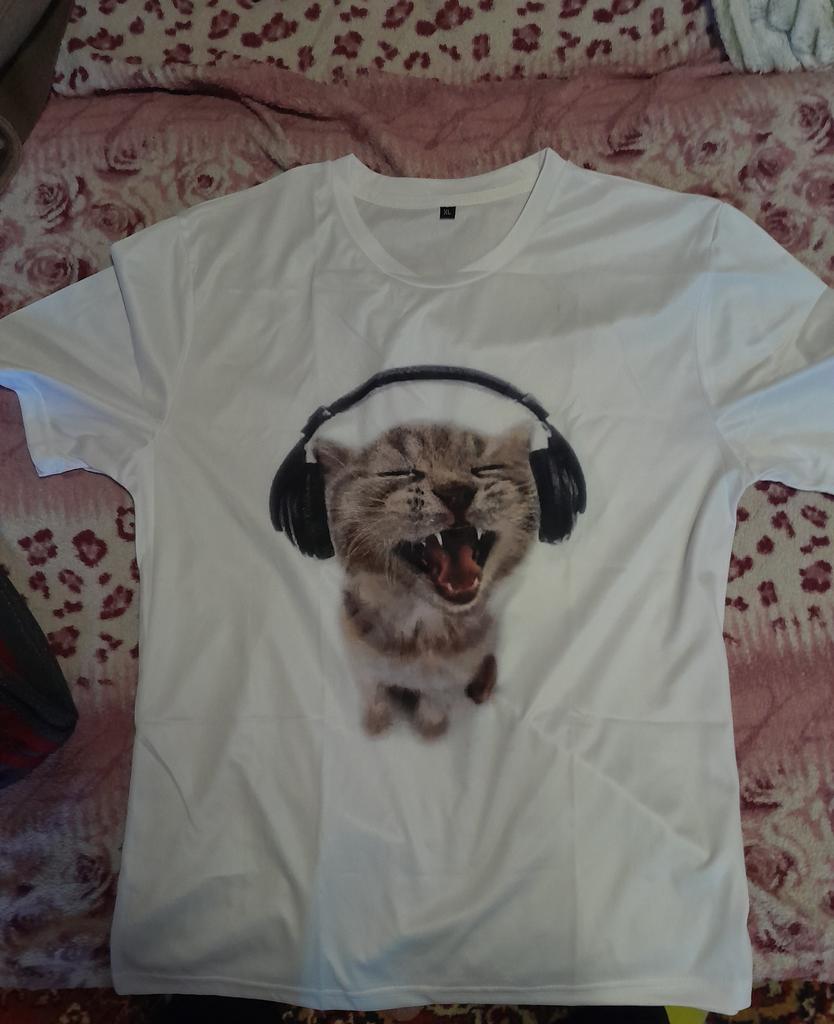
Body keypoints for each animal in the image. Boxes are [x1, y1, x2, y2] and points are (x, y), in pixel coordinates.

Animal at [314, 421, 539, 739]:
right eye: (398, 472)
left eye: (485, 469)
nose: (456, 492)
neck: (422, 624)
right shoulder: (364, 667)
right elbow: (375, 696)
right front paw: (376, 726)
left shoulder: (446, 680)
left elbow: (434, 703)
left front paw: (430, 731)